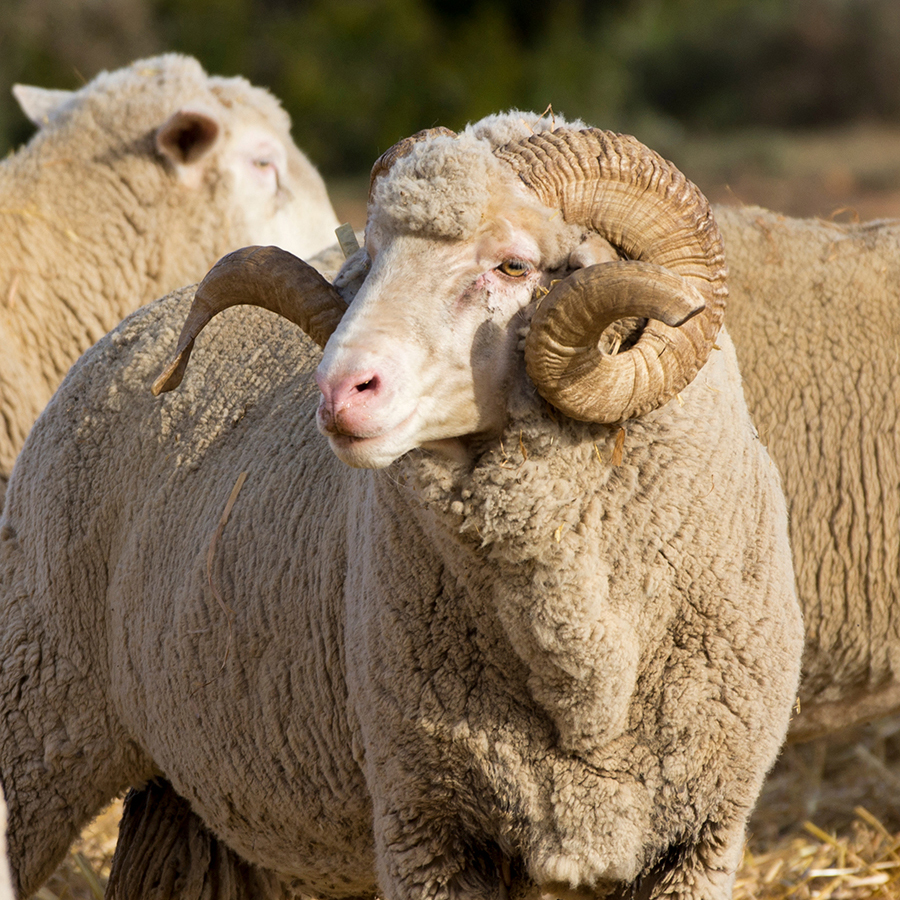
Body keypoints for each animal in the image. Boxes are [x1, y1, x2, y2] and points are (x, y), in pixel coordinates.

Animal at [0, 112, 804, 900]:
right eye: (372, 258)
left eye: (514, 266)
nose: (337, 390)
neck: (586, 681)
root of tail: (128, 331)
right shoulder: (429, 822)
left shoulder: (700, 837)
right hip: (37, 713)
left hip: (196, 796)